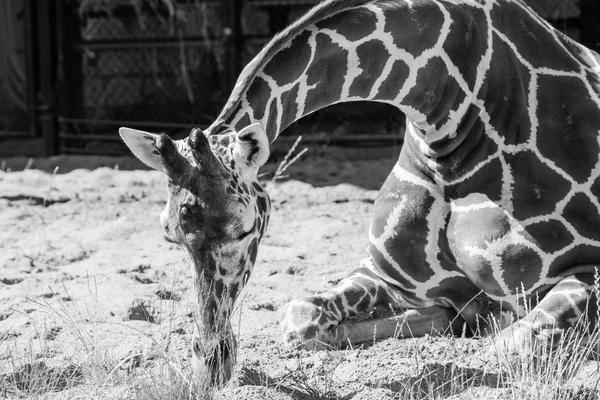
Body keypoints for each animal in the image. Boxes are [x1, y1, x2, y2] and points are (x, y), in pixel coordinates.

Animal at [117, 0, 600, 386]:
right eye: (169, 233)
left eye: (245, 229)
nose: (211, 365)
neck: (448, 126)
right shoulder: (387, 276)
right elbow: (301, 319)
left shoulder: (587, 270)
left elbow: (511, 343)